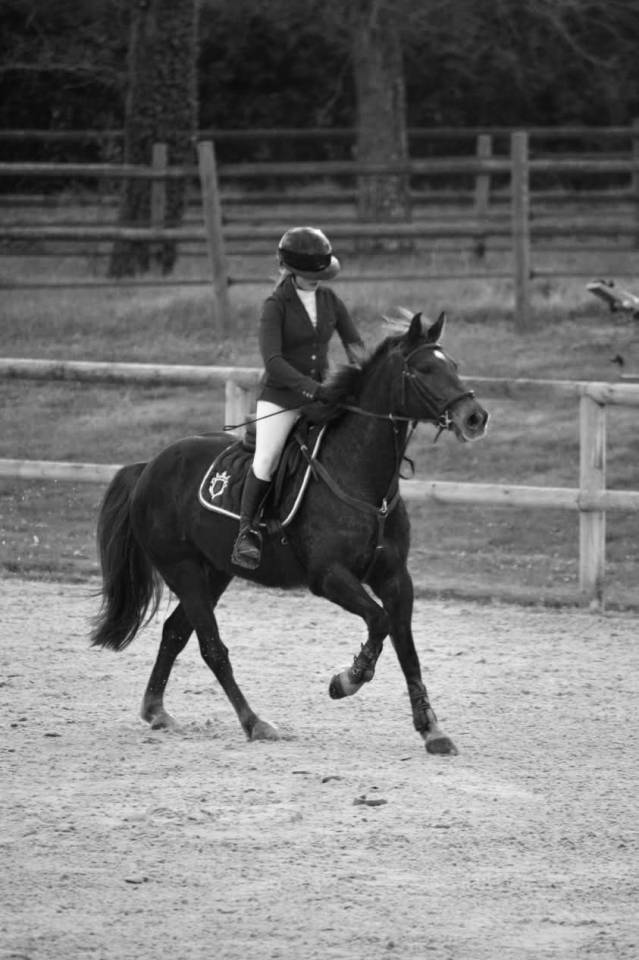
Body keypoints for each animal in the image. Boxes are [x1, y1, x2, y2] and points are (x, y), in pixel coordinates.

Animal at [90, 311, 488, 756]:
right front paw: (347, 680)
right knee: (211, 646)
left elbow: (407, 648)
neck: (361, 479)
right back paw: (255, 722)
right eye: (423, 370)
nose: (475, 417)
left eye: (453, 364)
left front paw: (431, 729)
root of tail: (149, 466)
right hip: (183, 570)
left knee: (175, 632)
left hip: (215, 572)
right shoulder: (329, 576)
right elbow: (379, 621)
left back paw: (157, 710)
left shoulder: (396, 577)